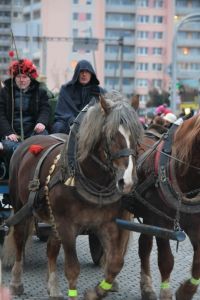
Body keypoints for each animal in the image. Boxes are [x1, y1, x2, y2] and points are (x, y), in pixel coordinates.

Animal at [3, 92, 143, 300]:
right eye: (111, 137)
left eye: (136, 137)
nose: (127, 182)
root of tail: (26, 142)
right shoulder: (67, 226)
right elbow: (72, 269)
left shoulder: (107, 224)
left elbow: (115, 263)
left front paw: (97, 291)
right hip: (21, 207)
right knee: (20, 239)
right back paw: (16, 282)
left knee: (51, 248)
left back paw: (53, 287)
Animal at [126, 115, 200, 300]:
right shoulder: (160, 223)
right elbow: (166, 260)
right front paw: (166, 292)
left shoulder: (196, 225)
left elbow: (199, 261)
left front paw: (186, 291)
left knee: (144, 244)